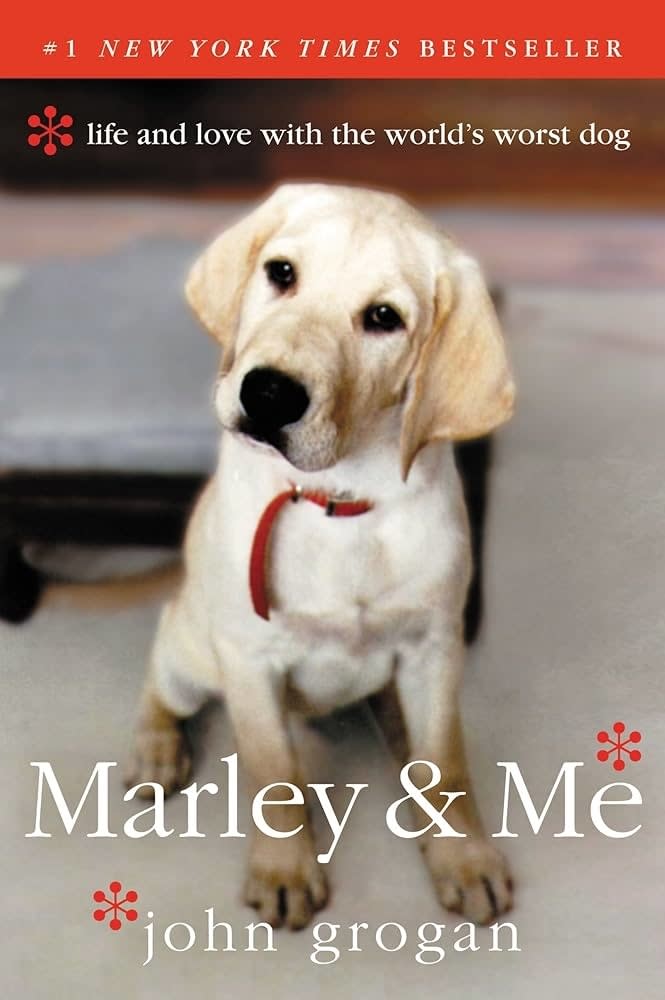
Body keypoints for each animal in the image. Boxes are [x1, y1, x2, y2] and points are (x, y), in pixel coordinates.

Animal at [128, 182, 512, 928]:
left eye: (384, 318)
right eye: (281, 273)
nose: (268, 392)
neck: (339, 500)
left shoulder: (434, 648)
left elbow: (445, 765)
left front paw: (463, 857)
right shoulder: (249, 658)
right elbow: (274, 774)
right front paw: (284, 870)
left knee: (411, 745)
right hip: (192, 653)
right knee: (162, 680)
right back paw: (156, 750)